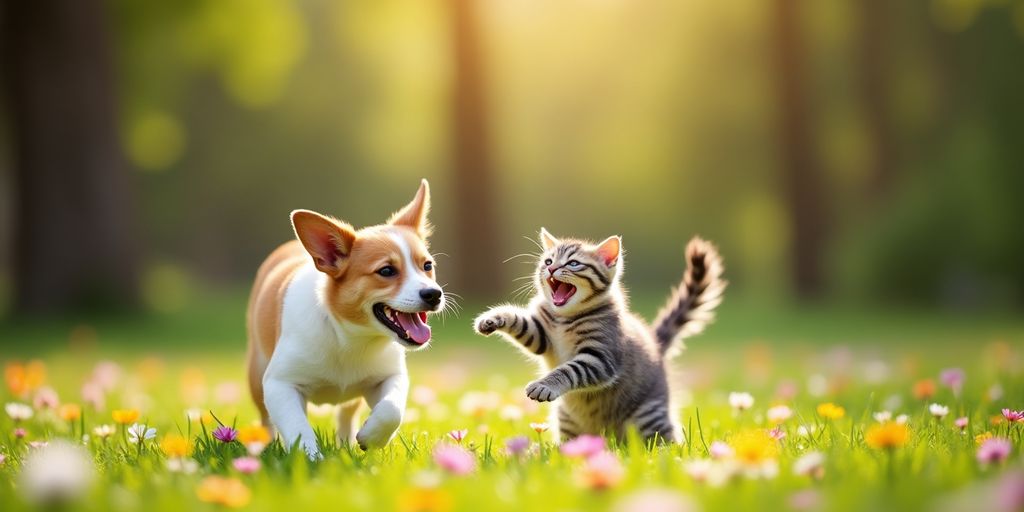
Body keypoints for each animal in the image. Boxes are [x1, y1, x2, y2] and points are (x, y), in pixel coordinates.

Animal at [247, 179, 444, 456]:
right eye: (386, 271)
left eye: (427, 266)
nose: (434, 294)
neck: (352, 338)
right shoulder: (279, 384)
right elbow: (298, 427)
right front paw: (311, 458)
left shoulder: (390, 377)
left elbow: (392, 410)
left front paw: (370, 437)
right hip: (256, 375)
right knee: (267, 419)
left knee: (346, 415)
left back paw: (347, 444)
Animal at [475, 229, 724, 444]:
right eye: (548, 261)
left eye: (573, 263)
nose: (552, 269)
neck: (565, 319)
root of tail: (656, 343)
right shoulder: (542, 335)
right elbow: (522, 323)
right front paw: (492, 319)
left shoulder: (601, 357)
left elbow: (569, 369)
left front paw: (545, 385)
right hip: (568, 420)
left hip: (649, 415)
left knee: (666, 441)